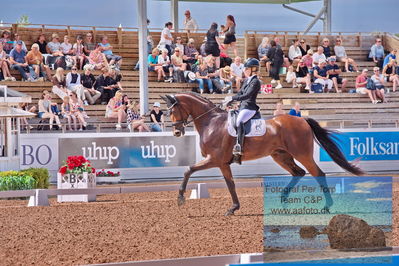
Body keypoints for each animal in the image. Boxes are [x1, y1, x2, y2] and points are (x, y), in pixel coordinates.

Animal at [160, 92, 366, 215]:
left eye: (173, 110)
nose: (176, 132)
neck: (211, 122)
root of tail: (302, 120)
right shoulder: (223, 163)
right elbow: (230, 184)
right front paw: (234, 208)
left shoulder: (215, 159)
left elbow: (188, 170)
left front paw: (180, 199)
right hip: (280, 155)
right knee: (298, 173)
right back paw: (283, 200)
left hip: (302, 154)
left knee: (318, 173)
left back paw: (326, 206)